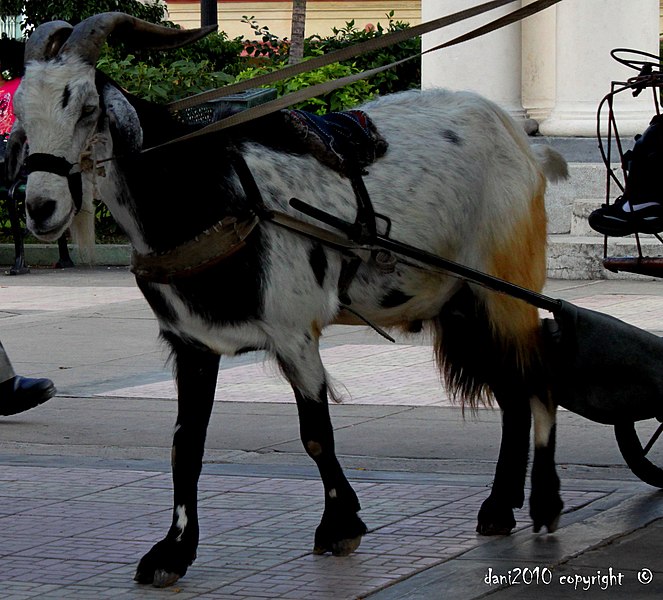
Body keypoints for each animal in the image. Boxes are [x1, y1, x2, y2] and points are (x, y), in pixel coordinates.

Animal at [10, 12, 568, 584]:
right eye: (22, 113)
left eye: (86, 107)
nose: (40, 207)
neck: (204, 193)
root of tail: (520, 140)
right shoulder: (192, 342)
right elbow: (185, 444)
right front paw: (173, 551)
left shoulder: (294, 332)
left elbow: (315, 432)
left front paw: (341, 526)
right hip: (462, 303)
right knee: (512, 392)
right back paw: (499, 508)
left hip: (504, 282)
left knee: (538, 380)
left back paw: (544, 504)